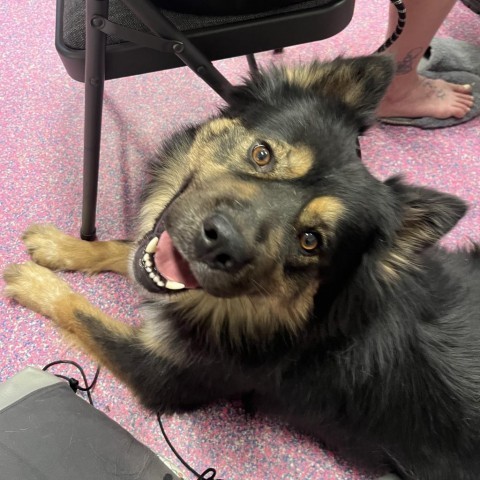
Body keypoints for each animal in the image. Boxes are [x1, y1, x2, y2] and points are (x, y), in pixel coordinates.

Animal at [3, 56, 480, 480]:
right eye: (262, 154)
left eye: (311, 240)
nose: (219, 243)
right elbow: (124, 249)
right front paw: (61, 247)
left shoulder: (162, 375)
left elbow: (82, 312)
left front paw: (35, 282)